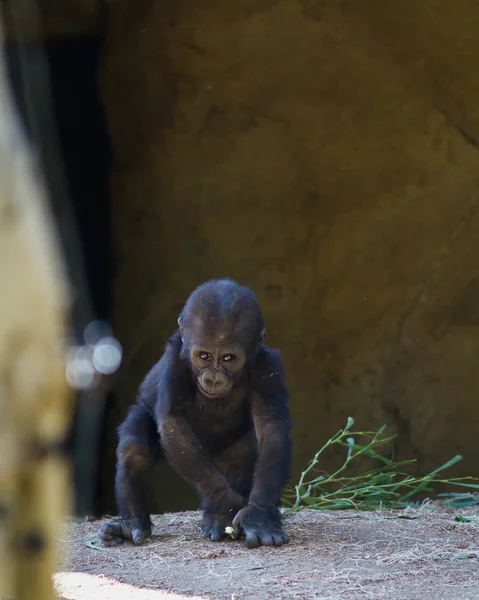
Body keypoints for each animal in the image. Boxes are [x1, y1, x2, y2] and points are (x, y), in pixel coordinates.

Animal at [98, 278, 292, 548]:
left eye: (229, 358)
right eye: (204, 356)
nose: (213, 379)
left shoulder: (267, 367)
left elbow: (271, 428)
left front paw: (259, 514)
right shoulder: (174, 362)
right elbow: (172, 424)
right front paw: (225, 507)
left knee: (246, 450)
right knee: (134, 449)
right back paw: (131, 523)